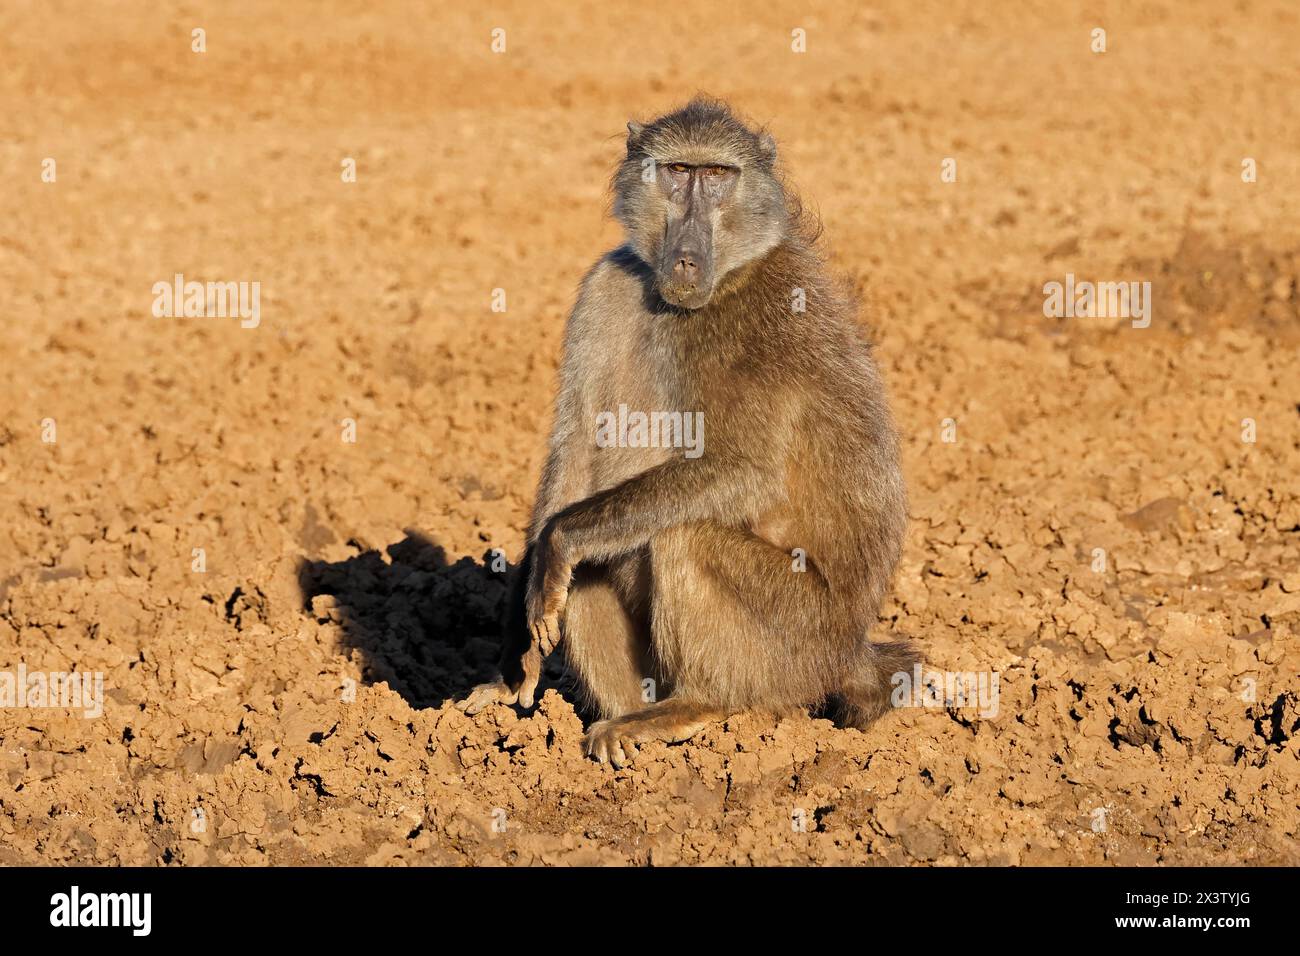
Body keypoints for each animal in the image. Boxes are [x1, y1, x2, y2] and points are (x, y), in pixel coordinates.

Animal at [457, 97, 918, 767]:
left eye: (718, 176)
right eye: (677, 171)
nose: (685, 258)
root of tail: (854, 652)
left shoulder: (757, 321)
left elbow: (743, 471)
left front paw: (560, 545)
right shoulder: (606, 283)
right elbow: (570, 460)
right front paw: (516, 659)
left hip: (799, 643)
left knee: (682, 538)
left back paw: (692, 706)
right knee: (593, 563)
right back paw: (624, 724)